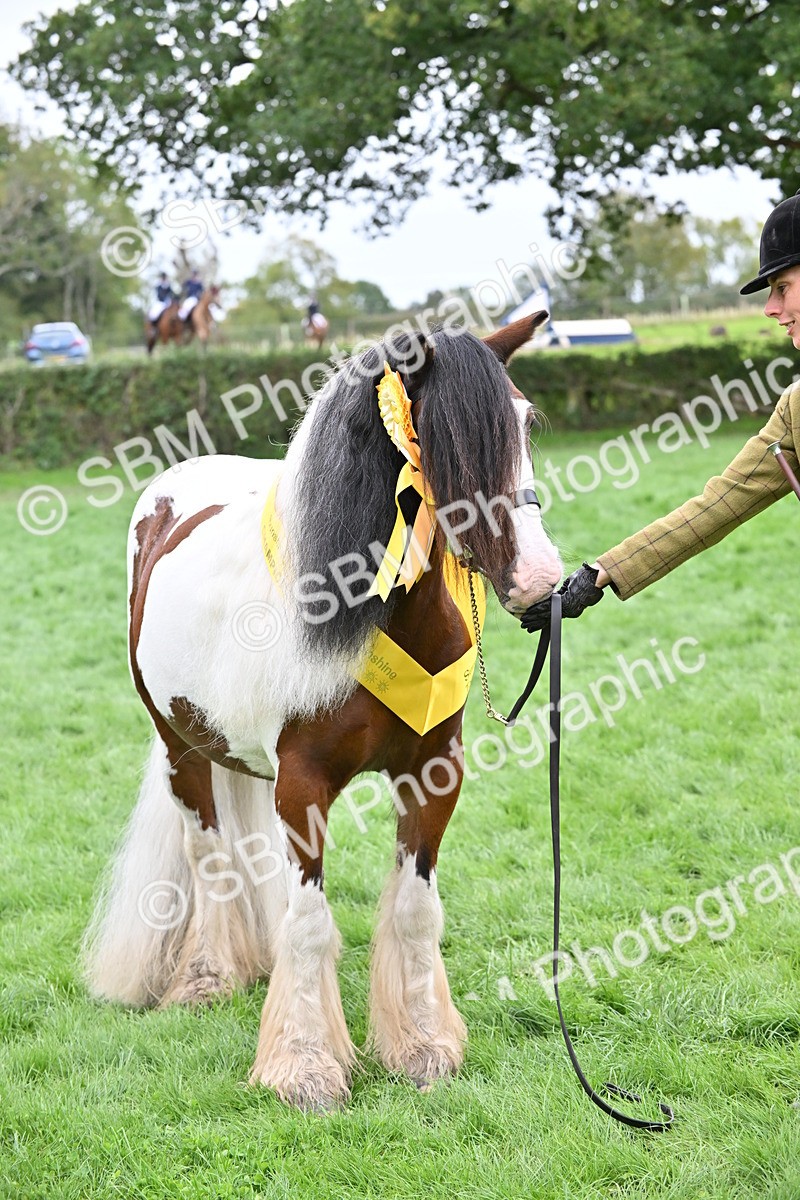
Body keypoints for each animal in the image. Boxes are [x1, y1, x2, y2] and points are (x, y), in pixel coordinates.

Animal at [84, 312, 561, 1111]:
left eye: (526, 422)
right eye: (437, 438)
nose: (541, 578)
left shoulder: (434, 774)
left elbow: (414, 907)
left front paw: (422, 1046)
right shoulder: (301, 786)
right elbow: (308, 924)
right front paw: (305, 1068)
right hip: (181, 747)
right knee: (209, 855)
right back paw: (207, 979)